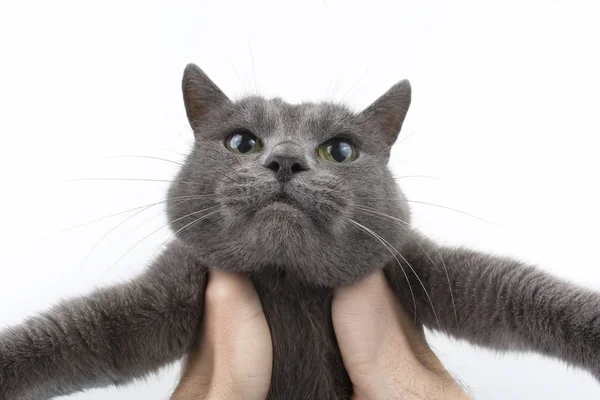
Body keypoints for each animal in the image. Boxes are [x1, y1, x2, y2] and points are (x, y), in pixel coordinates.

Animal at [1, 64, 600, 398]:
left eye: (340, 150)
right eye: (242, 142)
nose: (286, 160)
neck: (287, 284)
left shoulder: (412, 264)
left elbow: (508, 289)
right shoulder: (173, 288)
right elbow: (80, 335)